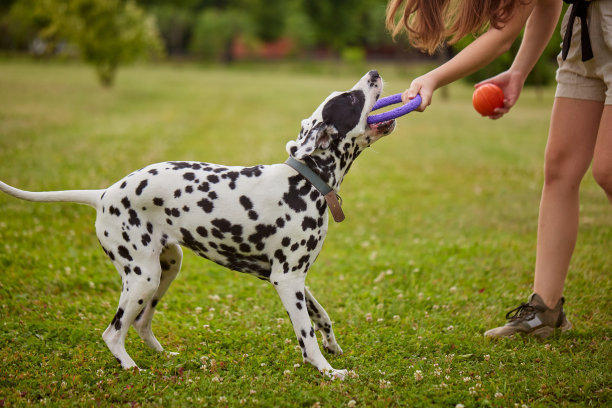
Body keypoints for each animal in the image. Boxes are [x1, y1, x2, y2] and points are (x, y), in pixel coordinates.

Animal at [0, 70, 396, 380]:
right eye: (351, 98)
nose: (375, 72)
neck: (304, 180)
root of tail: (103, 194)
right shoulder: (286, 280)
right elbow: (306, 334)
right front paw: (328, 371)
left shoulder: (294, 278)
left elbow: (322, 316)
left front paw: (333, 345)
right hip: (142, 277)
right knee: (113, 333)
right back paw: (131, 367)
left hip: (167, 268)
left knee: (140, 324)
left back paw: (163, 356)